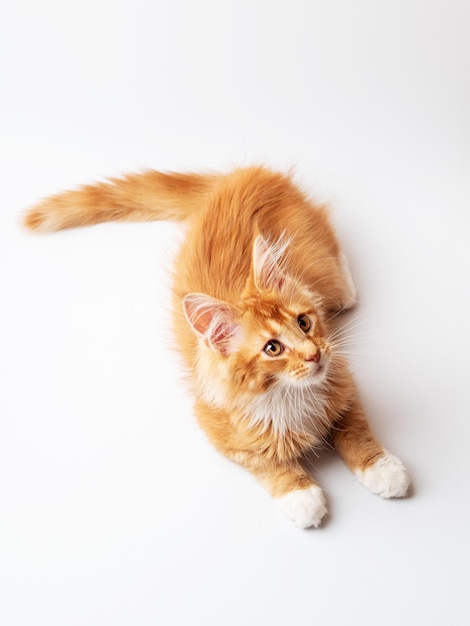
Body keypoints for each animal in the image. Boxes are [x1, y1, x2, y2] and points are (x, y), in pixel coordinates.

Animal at [23, 166, 410, 528]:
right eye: (272, 348)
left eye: (303, 323)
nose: (314, 354)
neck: (287, 395)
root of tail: (239, 176)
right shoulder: (220, 430)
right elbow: (266, 463)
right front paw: (300, 497)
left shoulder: (343, 381)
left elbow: (356, 431)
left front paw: (382, 469)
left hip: (316, 257)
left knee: (333, 260)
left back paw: (345, 292)